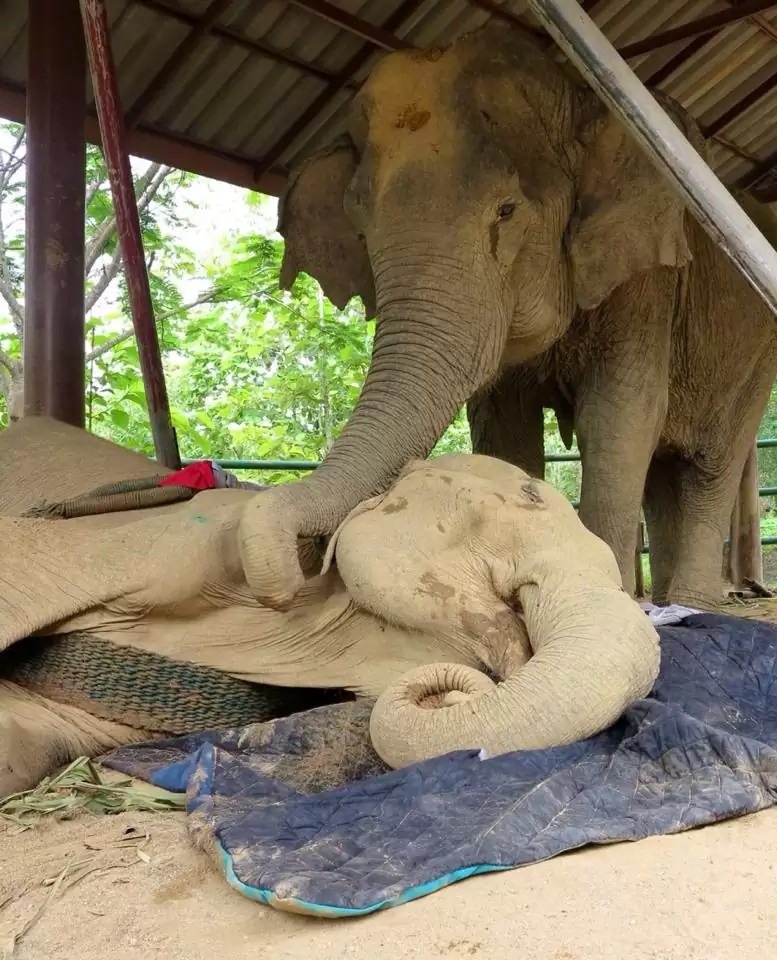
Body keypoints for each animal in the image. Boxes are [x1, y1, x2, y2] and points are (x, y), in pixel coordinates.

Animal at [241, 18, 776, 612]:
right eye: (360, 228)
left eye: (506, 210)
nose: (301, 566)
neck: (576, 95)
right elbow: (502, 423)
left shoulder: (646, 281)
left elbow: (621, 413)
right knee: (664, 475)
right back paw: (668, 601)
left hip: (757, 354)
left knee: (710, 467)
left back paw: (693, 604)